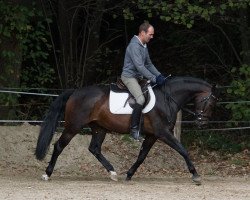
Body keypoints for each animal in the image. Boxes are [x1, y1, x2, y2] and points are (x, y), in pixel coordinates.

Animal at [35, 76, 219, 184]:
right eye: (210, 102)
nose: (202, 123)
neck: (167, 99)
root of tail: (75, 92)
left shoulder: (152, 135)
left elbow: (141, 156)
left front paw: (129, 174)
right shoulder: (163, 133)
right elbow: (183, 150)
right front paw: (195, 175)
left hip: (99, 128)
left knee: (94, 148)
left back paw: (112, 172)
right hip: (73, 126)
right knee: (59, 146)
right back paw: (47, 174)